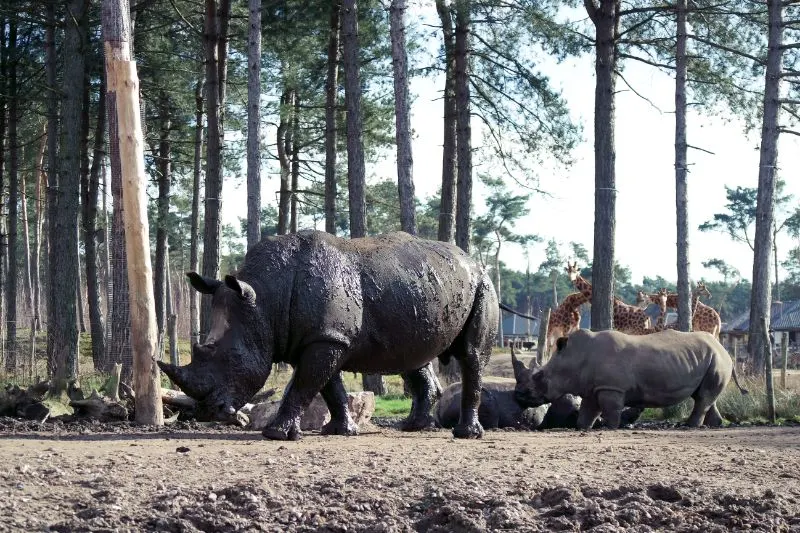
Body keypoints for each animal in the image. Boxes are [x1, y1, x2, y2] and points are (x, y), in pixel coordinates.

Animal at [159, 231, 496, 438]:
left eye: (232, 357)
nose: (208, 413)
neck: (264, 300)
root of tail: (472, 260)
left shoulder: (326, 339)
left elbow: (303, 385)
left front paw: (275, 434)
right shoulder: (322, 337)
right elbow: (328, 388)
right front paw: (339, 430)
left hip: (483, 285)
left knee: (471, 356)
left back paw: (465, 434)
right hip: (419, 289)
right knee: (413, 358)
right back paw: (412, 427)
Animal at [512, 328, 752, 428]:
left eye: (540, 376)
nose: (517, 396)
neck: (573, 357)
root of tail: (724, 348)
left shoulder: (611, 388)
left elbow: (610, 410)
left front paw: (609, 428)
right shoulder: (593, 388)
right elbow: (587, 413)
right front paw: (583, 428)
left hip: (717, 359)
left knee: (703, 397)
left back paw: (688, 427)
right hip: (711, 358)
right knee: (704, 396)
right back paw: (712, 426)